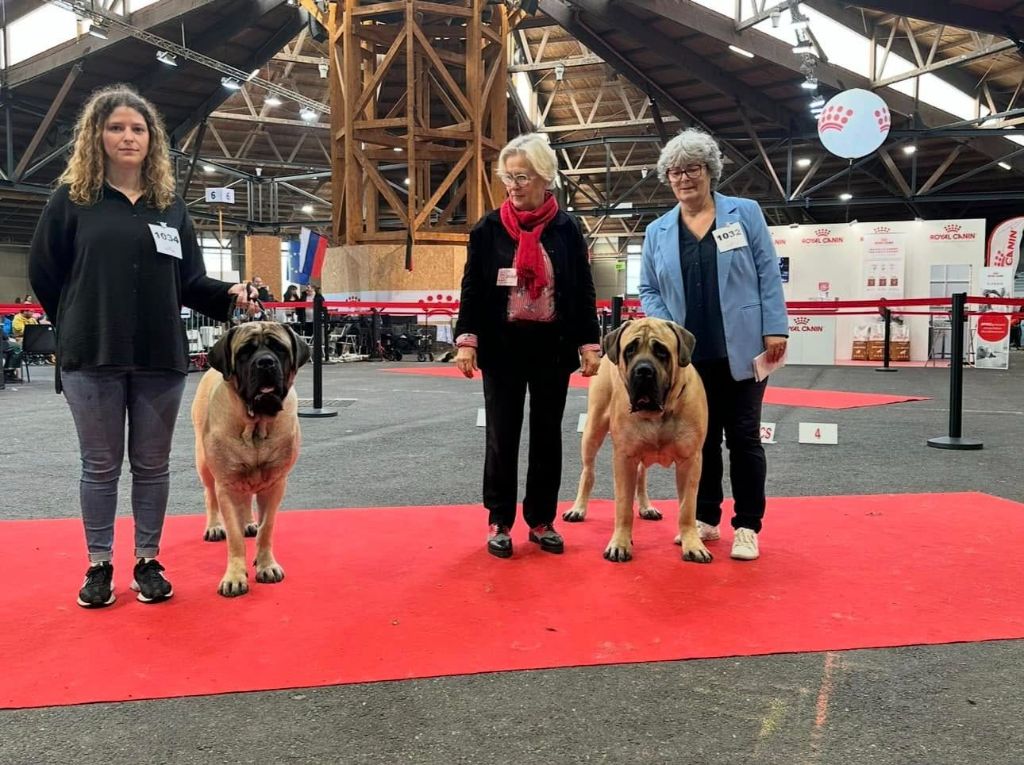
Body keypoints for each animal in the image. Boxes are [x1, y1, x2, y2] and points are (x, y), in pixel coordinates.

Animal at [192, 323, 309, 598]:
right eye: (245, 352)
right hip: (204, 463)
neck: (256, 425)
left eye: (279, 348)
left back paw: (248, 522)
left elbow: (267, 528)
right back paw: (214, 526)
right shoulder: (227, 484)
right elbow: (234, 537)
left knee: (246, 502)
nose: (265, 362)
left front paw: (266, 566)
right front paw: (235, 577)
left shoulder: (275, 484)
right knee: (210, 496)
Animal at [561, 315, 712, 561]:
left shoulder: (691, 461)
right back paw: (578, 509)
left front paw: (692, 544)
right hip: (593, 429)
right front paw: (620, 544)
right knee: (588, 471)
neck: (658, 412)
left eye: (661, 351)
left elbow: (687, 508)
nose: (643, 371)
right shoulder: (624, 457)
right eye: (630, 350)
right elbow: (623, 506)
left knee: (641, 475)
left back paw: (645, 506)